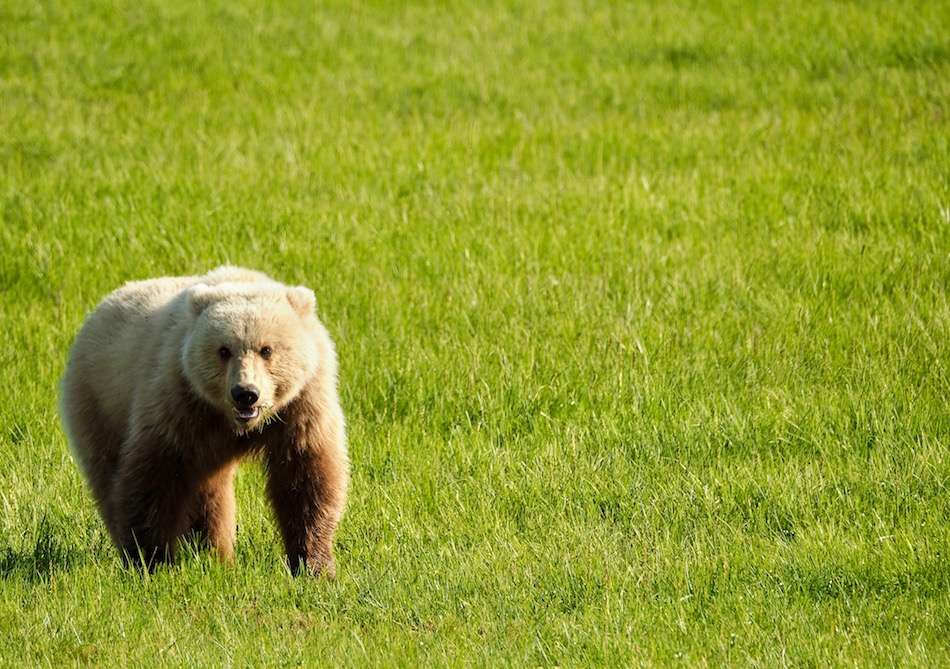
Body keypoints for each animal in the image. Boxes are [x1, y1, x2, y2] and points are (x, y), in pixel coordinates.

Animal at [59, 266, 348, 576]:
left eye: (267, 349)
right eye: (223, 350)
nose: (245, 393)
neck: (233, 423)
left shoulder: (302, 406)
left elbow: (306, 478)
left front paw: (314, 565)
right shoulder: (177, 399)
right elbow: (154, 476)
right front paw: (150, 559)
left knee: (208, 492)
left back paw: (214, 554)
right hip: (99, 403)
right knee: (110, 477)